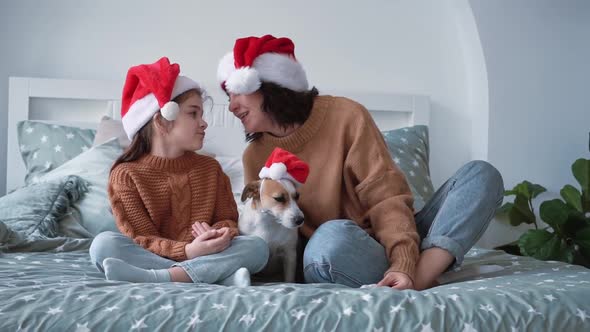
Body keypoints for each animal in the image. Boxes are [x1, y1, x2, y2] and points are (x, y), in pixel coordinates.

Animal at [237, 148, 310, 282]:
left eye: (297, 196)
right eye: (279, 198)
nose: (300, 220)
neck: (269, 222)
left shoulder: (289, 255)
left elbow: (289, 279)